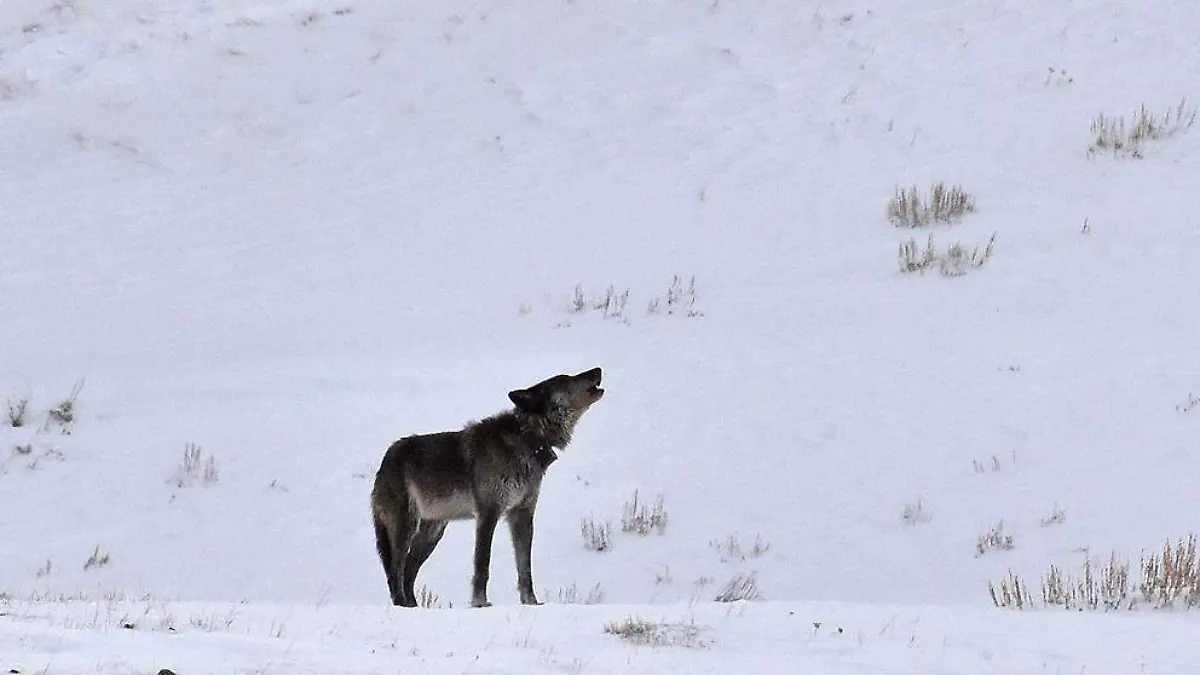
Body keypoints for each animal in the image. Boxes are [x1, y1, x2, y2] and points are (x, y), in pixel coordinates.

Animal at [370, 367, 604, 608]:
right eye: (566, 379)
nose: (598, 369)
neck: (528, 438)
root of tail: (385, 461)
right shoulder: (488, 513)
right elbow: (483, 562)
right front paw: (480, 602)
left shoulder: (522, 515)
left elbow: (525, 568)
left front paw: (531, 602)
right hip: (406, 528)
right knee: (395, 572)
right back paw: (402, 605)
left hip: (432, 534)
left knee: (408, 572)